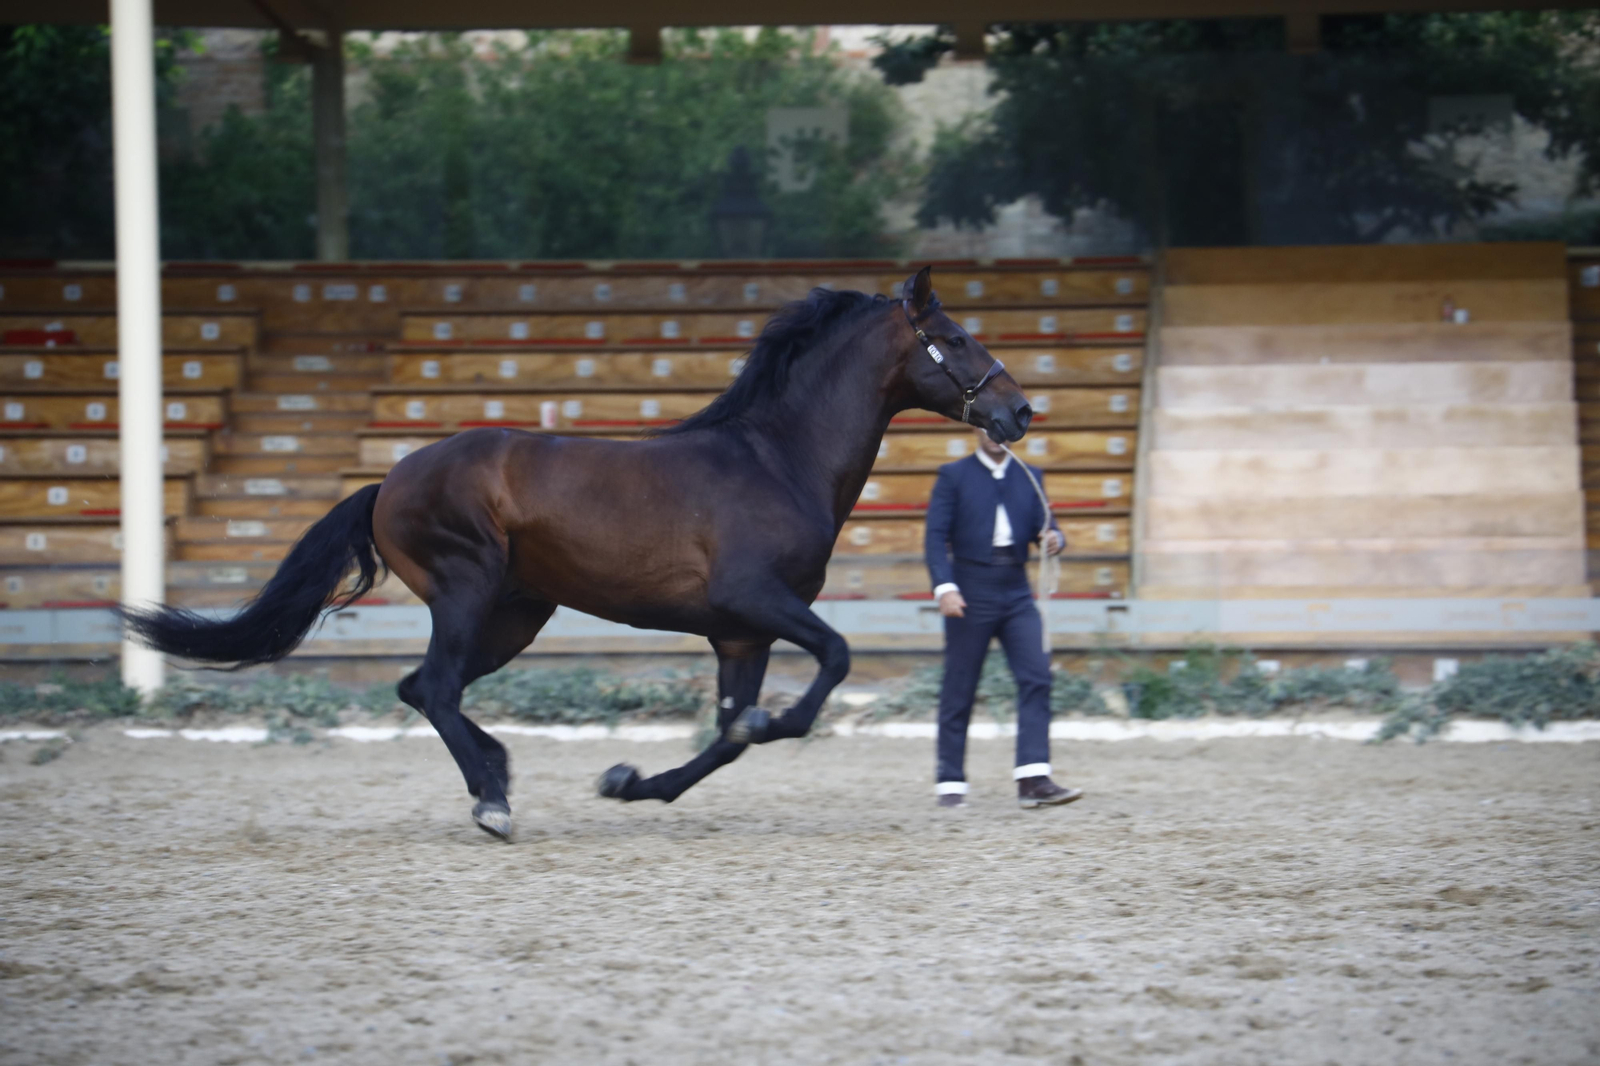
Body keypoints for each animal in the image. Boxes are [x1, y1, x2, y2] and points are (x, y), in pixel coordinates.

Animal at [121, 267, 1034, 839]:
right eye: (953, 336)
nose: (1019, 412)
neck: (778, 459)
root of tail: (388, 483)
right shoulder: (757, 602)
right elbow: (828, 665)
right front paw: (769, 724)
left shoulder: (740, 634)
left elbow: (730, 734)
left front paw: (629, 782)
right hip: (467, 589)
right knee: (437, 685)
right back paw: (493, 803)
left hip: (516, 613)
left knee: (423, 687)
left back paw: (493, 778)